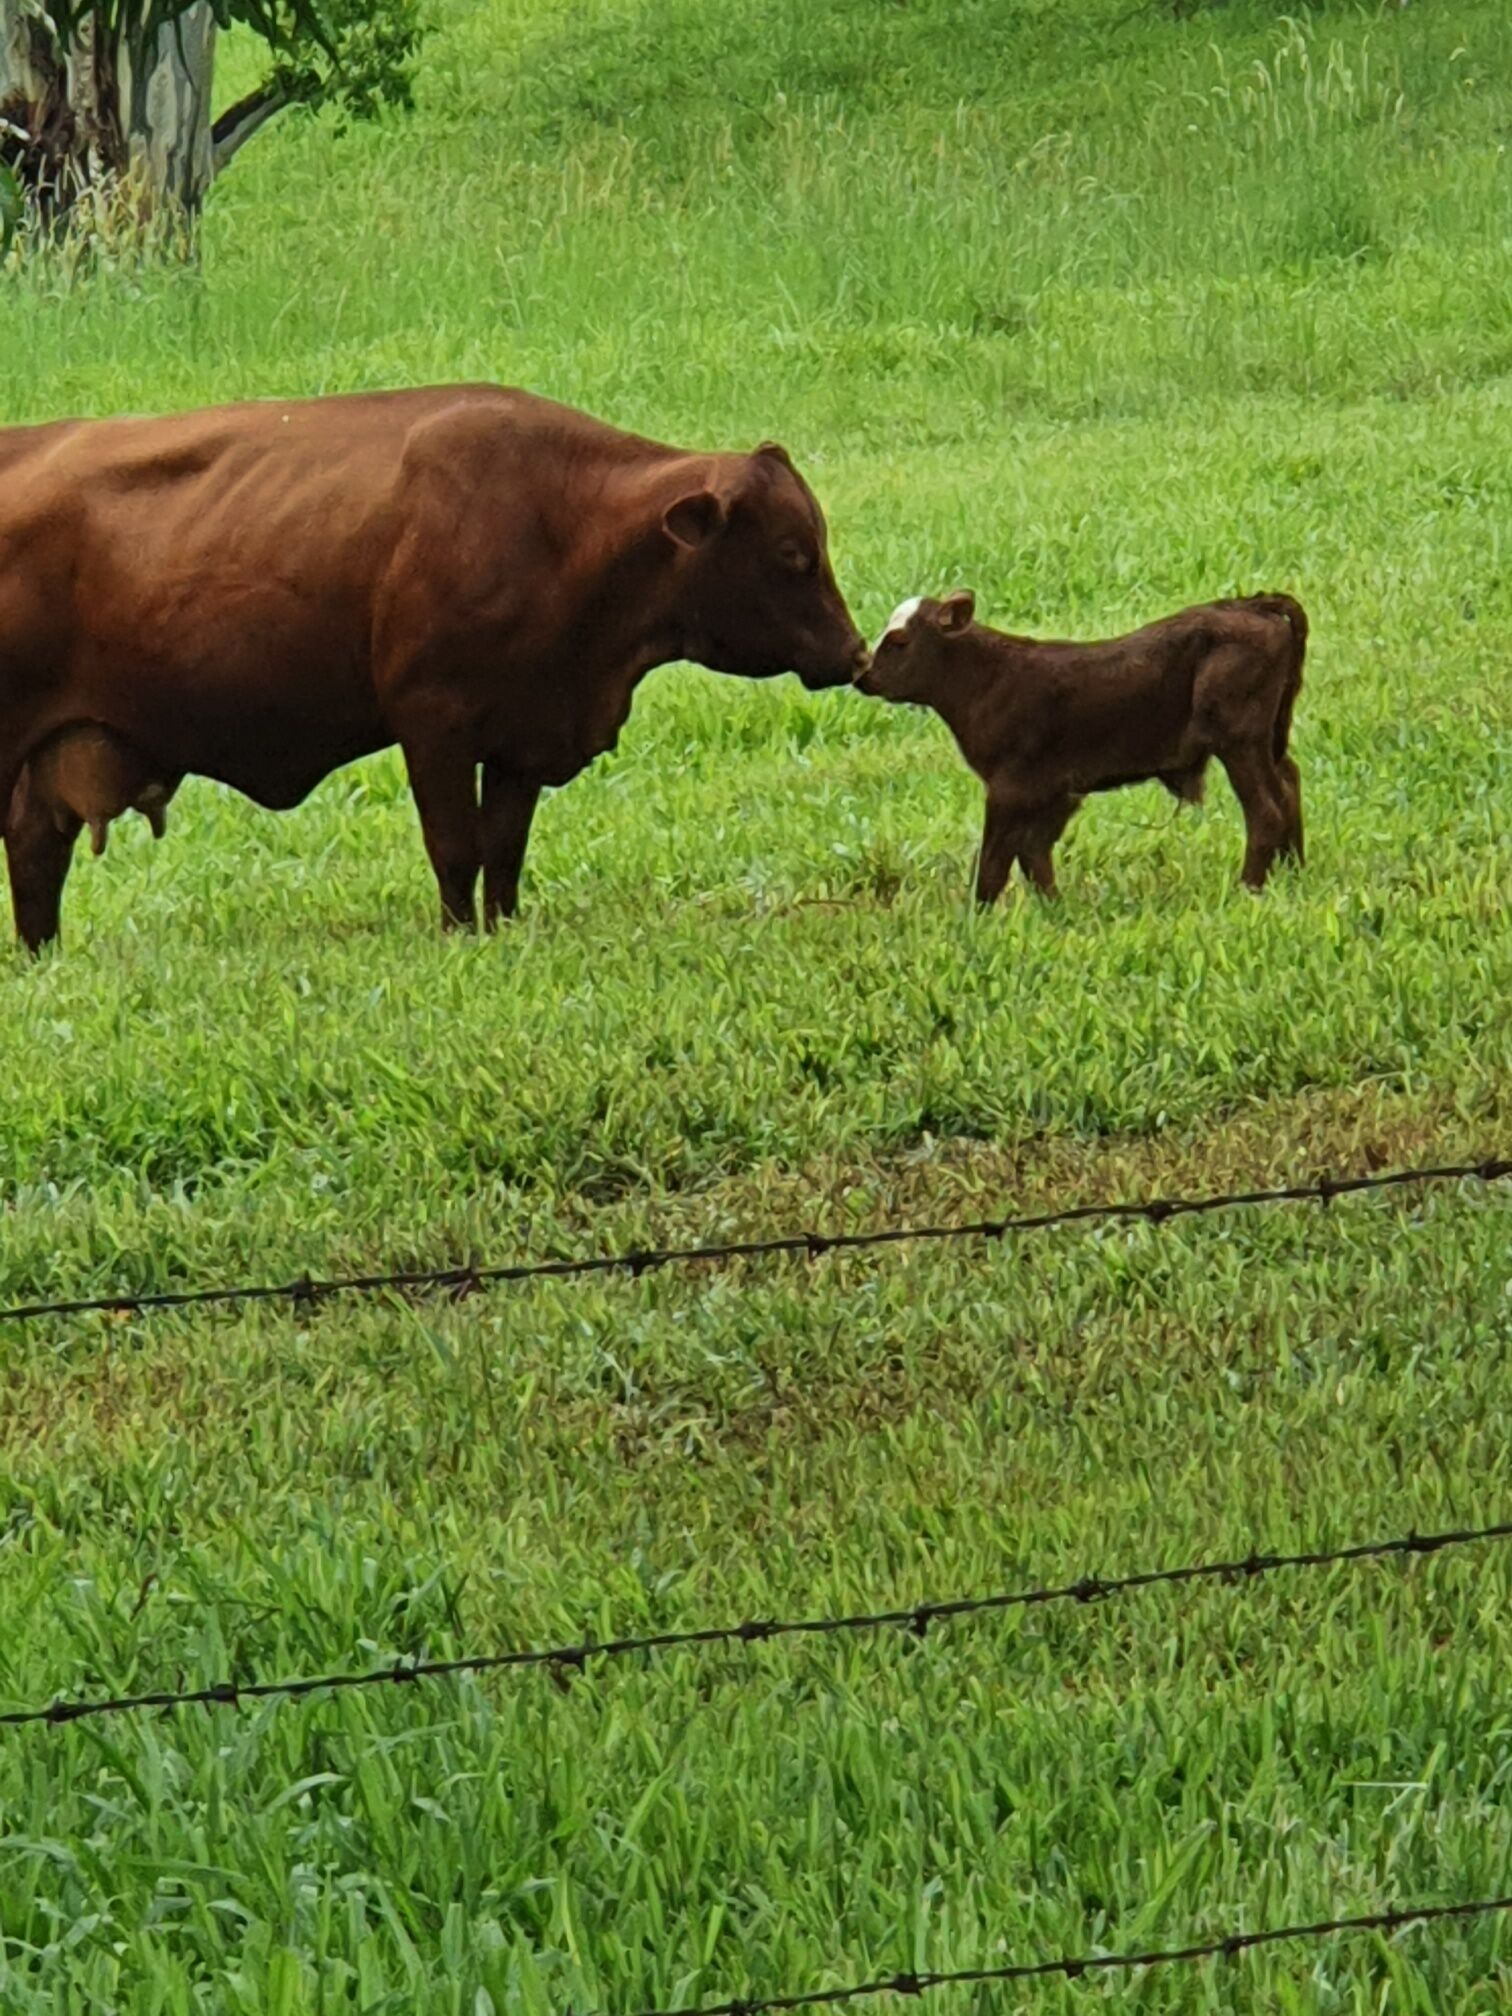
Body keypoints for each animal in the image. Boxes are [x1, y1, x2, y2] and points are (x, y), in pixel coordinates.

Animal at [0, 387, 870, 951]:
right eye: (792, 554)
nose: (856, 653)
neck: (560, 524)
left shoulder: (523, 738)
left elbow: (505, 850)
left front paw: (503, 929)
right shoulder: (434, 722)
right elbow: (456, 845)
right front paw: (458, 936)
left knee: (36, 850)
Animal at [858, 592, 1306, 903]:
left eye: (898, 641)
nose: (862, 676)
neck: (988, 679)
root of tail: (1252, 604)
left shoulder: (1008, 788)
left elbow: (995, 863)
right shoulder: (1056, 791)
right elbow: (1033, 854)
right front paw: (1056, 909)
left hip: (1238, 741)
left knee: (1266, 810)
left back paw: (1248, 888)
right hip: (1265, 743)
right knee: (1288, 786)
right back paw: (1294, 873)